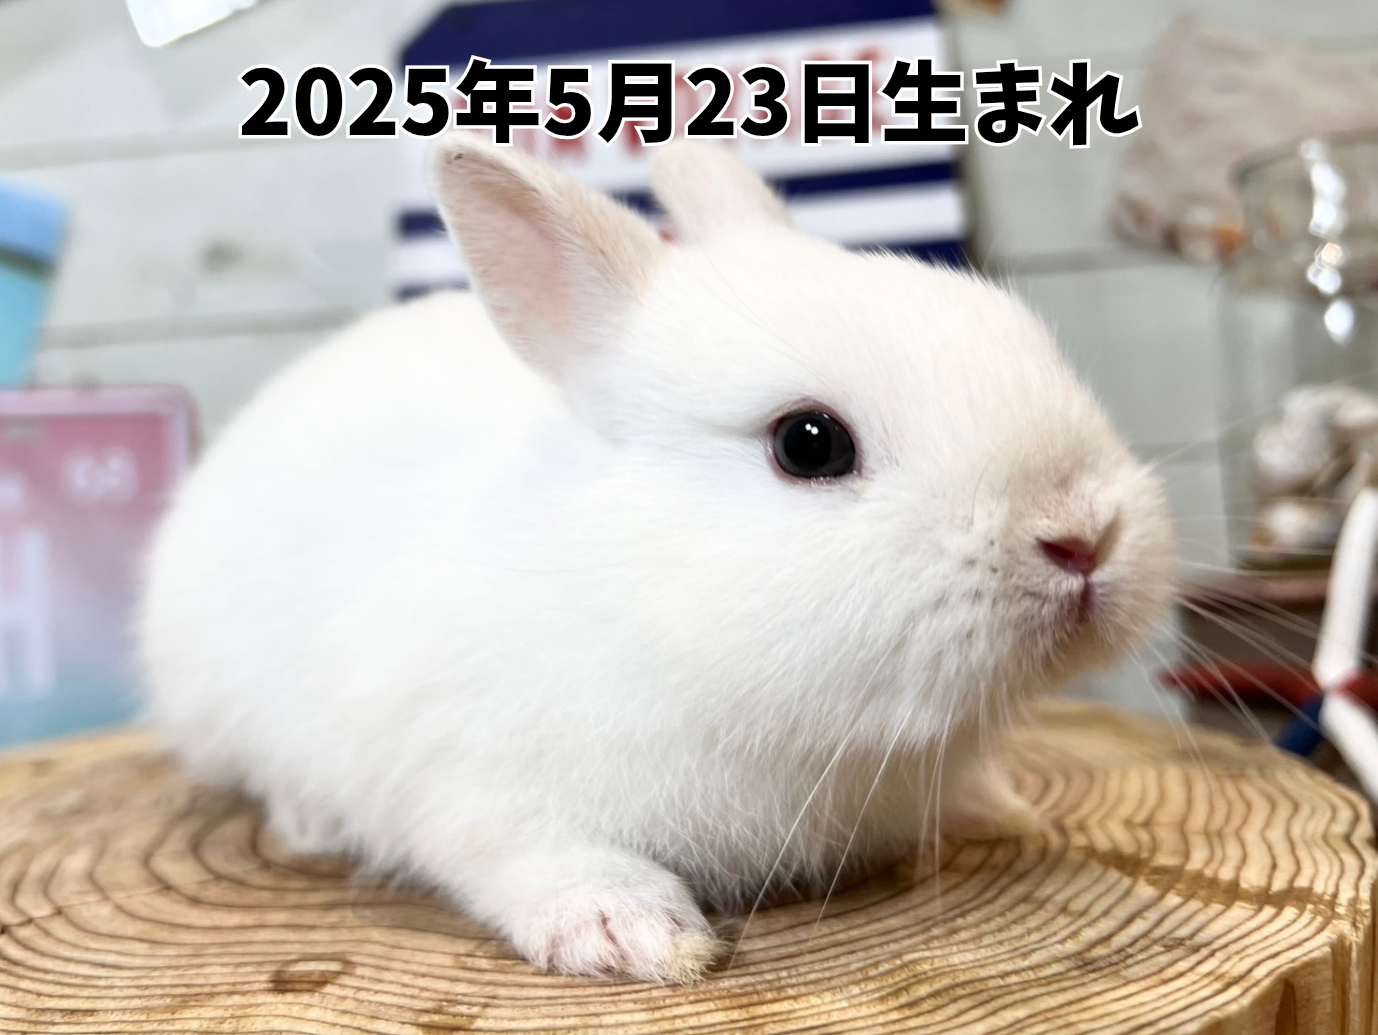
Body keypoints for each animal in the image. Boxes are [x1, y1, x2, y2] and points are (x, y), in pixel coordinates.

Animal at [137, 133, 1177, 984]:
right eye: (809, 443)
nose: (1083, 535)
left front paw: (1001, 807)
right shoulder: (470, 783)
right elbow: (530, 855)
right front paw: (630, 933)